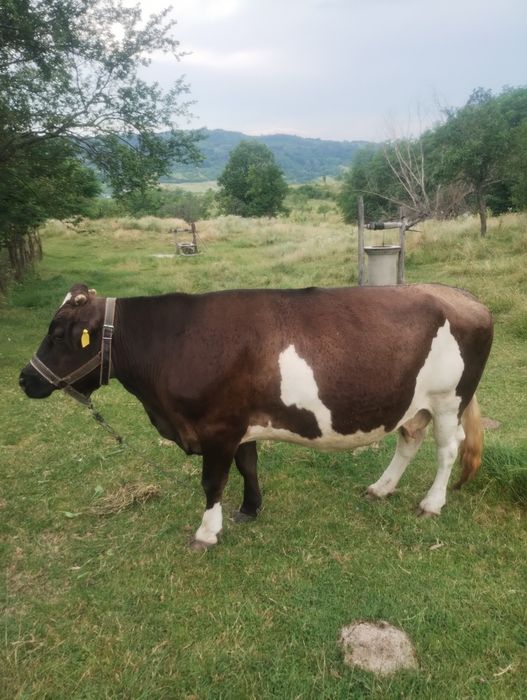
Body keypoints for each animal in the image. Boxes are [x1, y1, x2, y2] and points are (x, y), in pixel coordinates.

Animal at [19, 282, 493, 548]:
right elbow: (248, 466)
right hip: (415, 402)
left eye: (58, 335)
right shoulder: (239, 426)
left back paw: (431, 503)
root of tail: (464, 296)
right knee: (409, 439)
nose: (25, 379)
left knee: (448, 451)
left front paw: (207, 532)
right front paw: (250, 509)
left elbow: (212, 481)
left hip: (449, 399)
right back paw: (381, 488)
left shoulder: (217, 428)